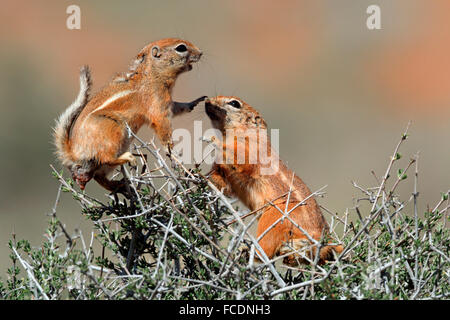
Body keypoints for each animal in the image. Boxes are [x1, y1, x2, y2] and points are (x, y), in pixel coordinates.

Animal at [54, 37, 206, 192]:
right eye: (181, 48)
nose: (200, 53)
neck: (152, 75)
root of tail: (73, 153)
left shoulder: (167, 103)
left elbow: (178, 107)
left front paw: (195, 102)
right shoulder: (157, 106)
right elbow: (163, 128)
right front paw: (172, 153)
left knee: (99, 177)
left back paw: (118, 186)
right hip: (115, 128)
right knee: (107, 158)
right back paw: (128, 159)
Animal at [206, 95, 342, 264]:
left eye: (234, 103)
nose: (206, 100)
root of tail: (321, 237)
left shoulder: (251, 151)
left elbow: (240, 160)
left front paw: (213, 140)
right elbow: (224, 185)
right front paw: (203, 177)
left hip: (273, 220)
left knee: (265, 249)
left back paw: (250, 251)